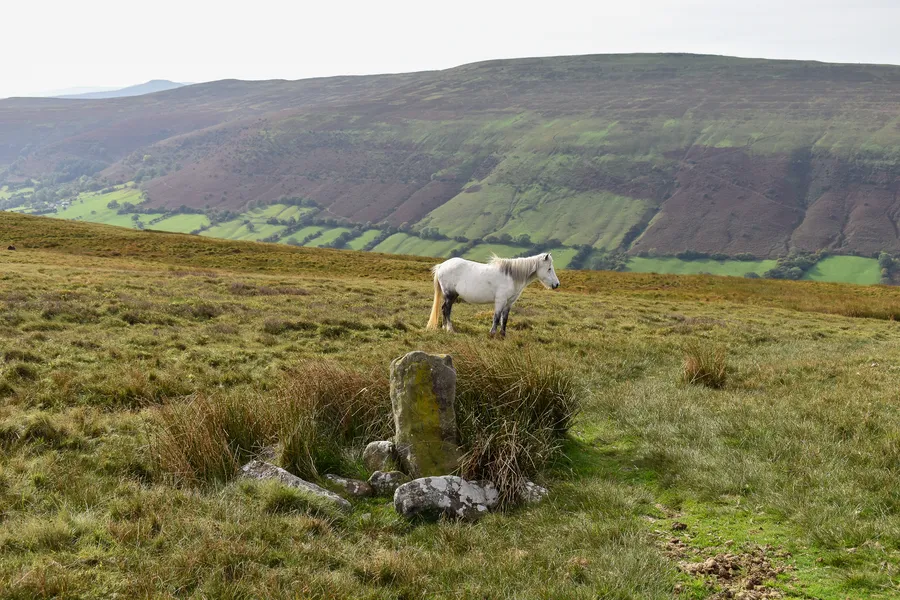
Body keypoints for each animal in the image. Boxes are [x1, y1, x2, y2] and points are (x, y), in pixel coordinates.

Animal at [426, 253, 560, 336]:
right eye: (549, 268)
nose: (557, 284)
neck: (511, 276)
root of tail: (441, 266)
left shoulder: (509, 303)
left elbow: (504, 318)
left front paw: (503, 334)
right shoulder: (500, 301)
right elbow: (496, 317)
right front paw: (492, 333)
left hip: (452, 296)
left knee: (444, 309)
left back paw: (444, 328)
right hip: (450, 295)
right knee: (446, 310)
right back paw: (450, 329)